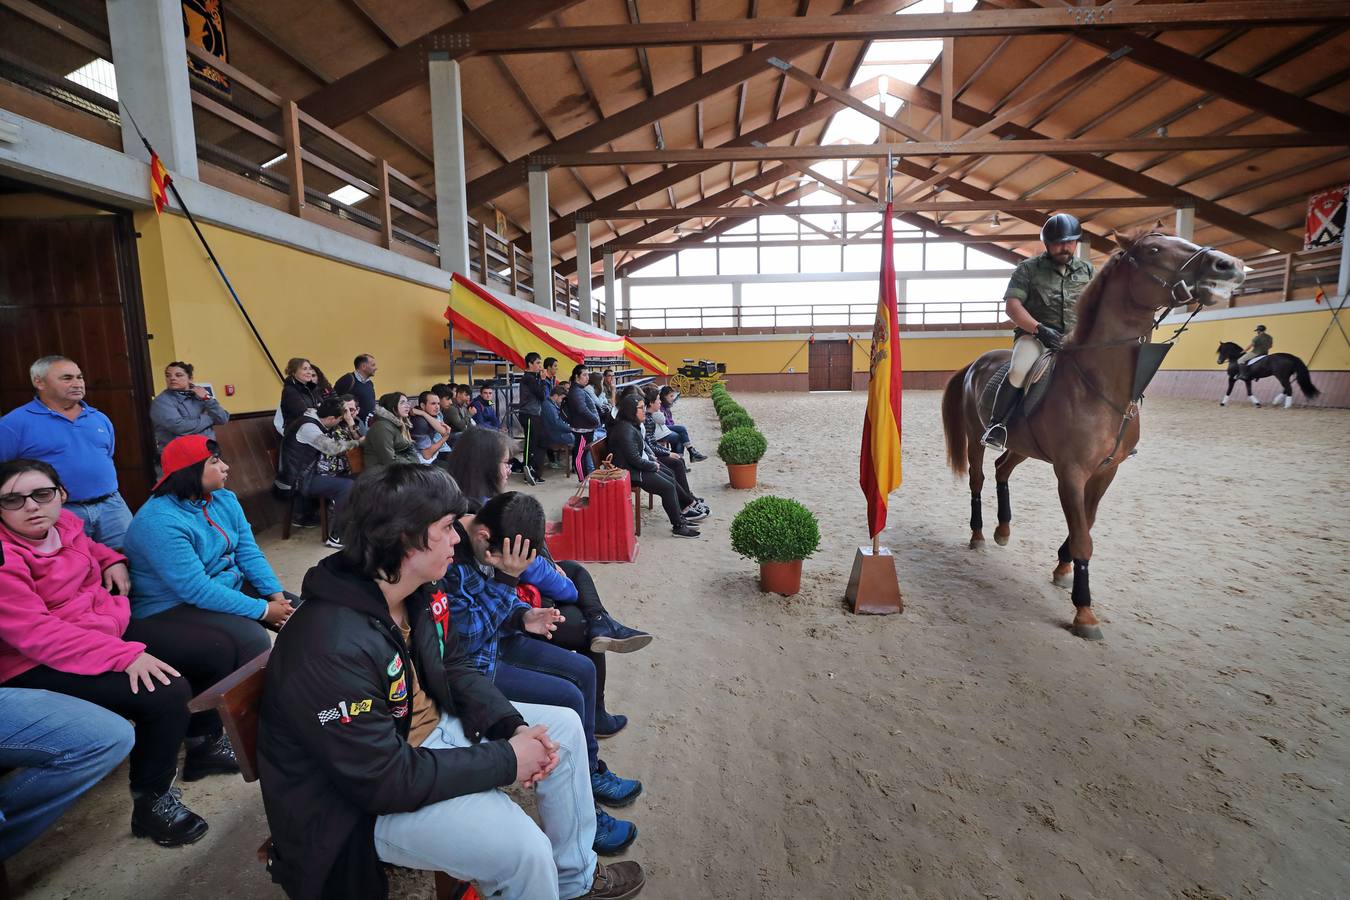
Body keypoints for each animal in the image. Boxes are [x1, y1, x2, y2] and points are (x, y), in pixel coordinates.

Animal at [945, 232, 1236, 639]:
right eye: (1154, 250)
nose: (1226, 265)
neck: (1101, 385)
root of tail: (976, 363)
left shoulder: (1106, 470)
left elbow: (1087, 522)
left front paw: (1063, 566)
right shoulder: (1070, 472)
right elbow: (1083, 535)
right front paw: (1084, 611)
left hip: (1023, 445)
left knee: (1003, 469)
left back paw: (1003, 529)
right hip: (976, 437)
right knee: (979, 478)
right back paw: (979, 535)